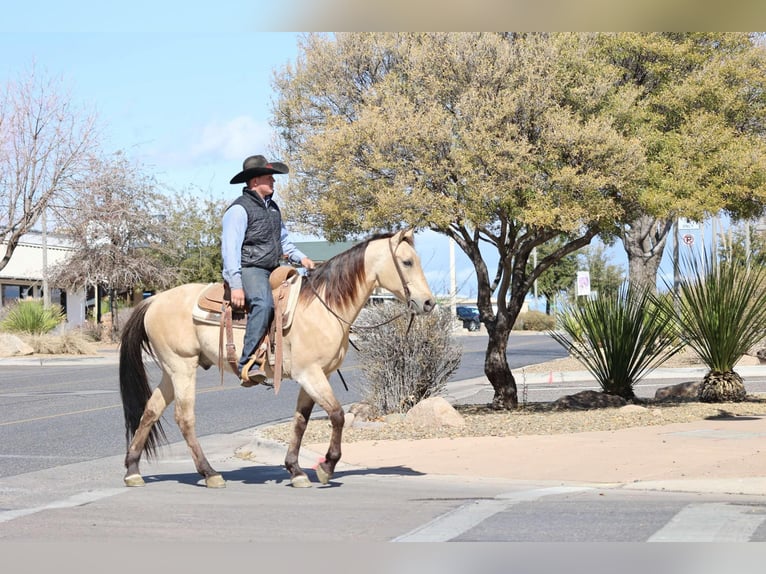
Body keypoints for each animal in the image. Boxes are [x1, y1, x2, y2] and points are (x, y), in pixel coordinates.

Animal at [118, 231, 436, 490]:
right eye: (407, 262)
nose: (429, 303)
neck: (323, 306)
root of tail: (153, 300)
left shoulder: (318, 375)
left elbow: (300, 421)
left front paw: (295, 470)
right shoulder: (310, 374)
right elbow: (336, 415)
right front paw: (326, 467)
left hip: (171, 372)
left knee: (150, 411)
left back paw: (133, 470)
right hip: (182, 367)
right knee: (184, 418)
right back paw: (209, 473)